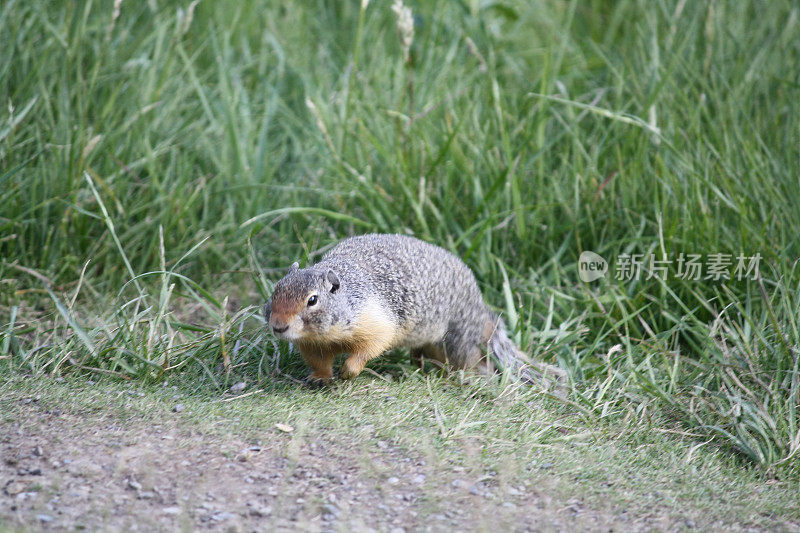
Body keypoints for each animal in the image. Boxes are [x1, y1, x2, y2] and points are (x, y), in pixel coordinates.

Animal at [264, 234, 564, 386]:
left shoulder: (376, 320)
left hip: (456, 341)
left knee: (475, 361)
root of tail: (482, 311)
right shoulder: (312, 344)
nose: (278, 326)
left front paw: (349, 370)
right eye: (275, 291)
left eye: (312, 300)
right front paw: (319, 377)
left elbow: (370, 347)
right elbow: (319, 361)